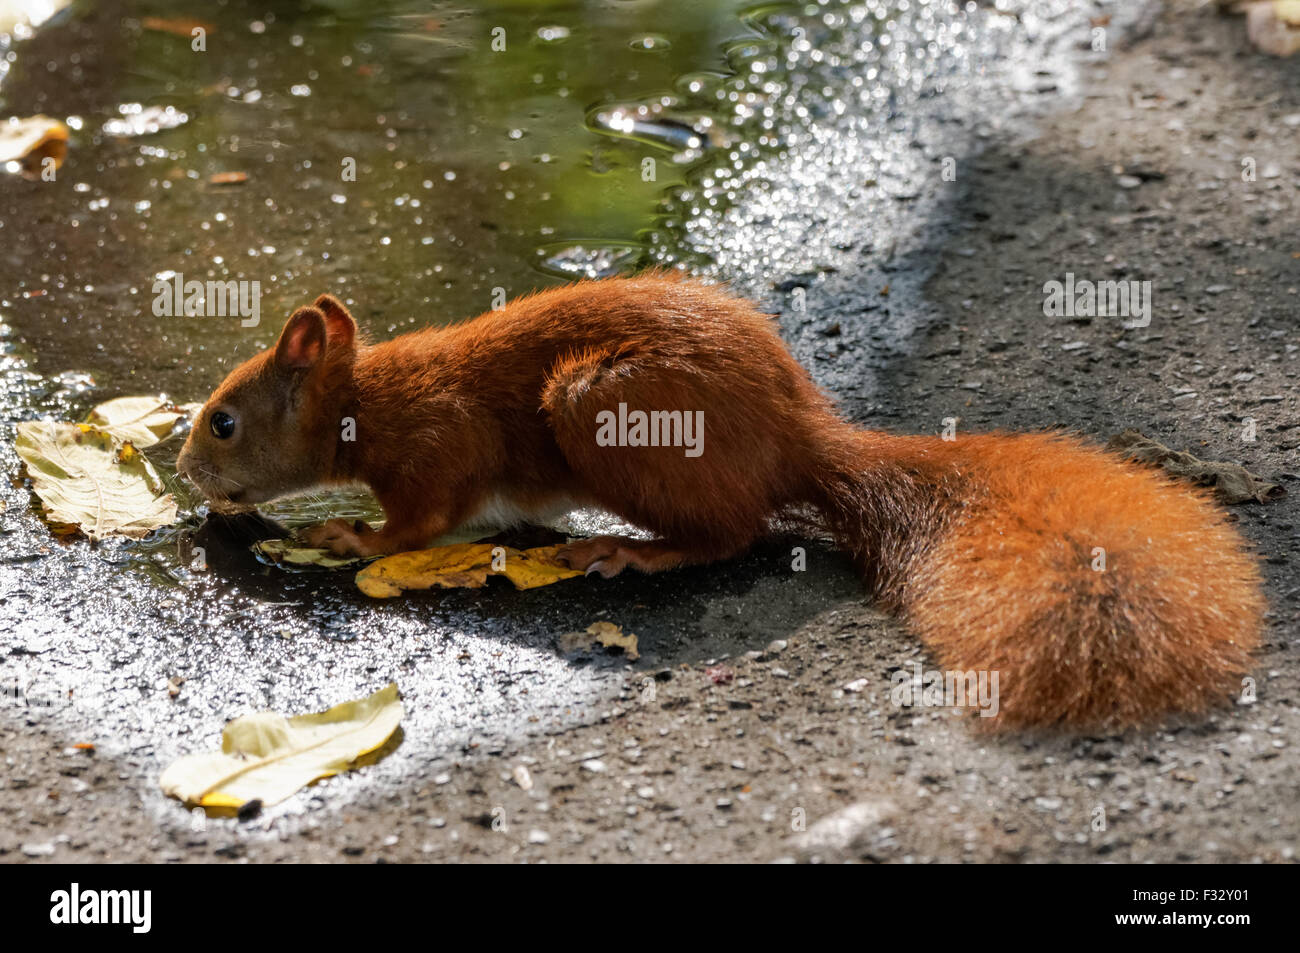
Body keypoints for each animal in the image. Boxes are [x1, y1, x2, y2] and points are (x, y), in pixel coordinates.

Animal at [178, 271, 1263, 733]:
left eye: (224, 420)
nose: (186, 473)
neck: (363, 401)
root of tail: (797, 436)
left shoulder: (440, 445)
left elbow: (416, 523)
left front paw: (346, 532)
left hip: (601, 406)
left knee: (737, 531)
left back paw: (634, 550)